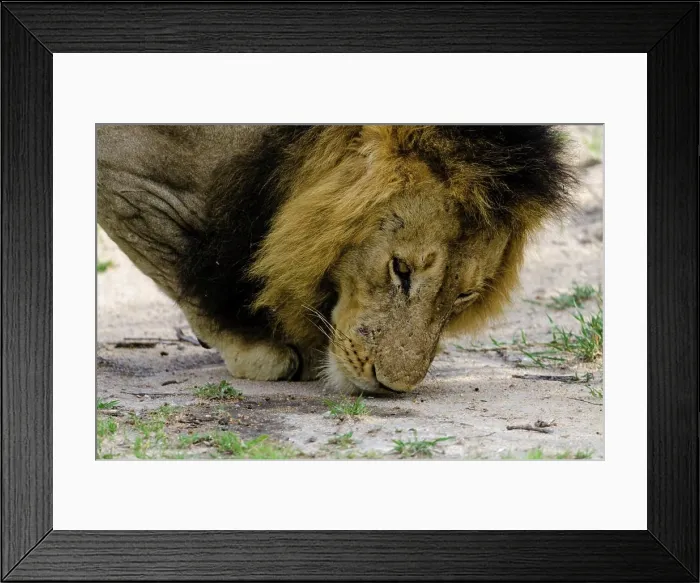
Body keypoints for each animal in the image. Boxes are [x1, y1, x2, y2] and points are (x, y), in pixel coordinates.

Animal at [97, 125, 575, 393]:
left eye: (464, 295)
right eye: (401, 269)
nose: (392, 387)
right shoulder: (128, 182)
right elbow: (178, 261)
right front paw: (259, 348)